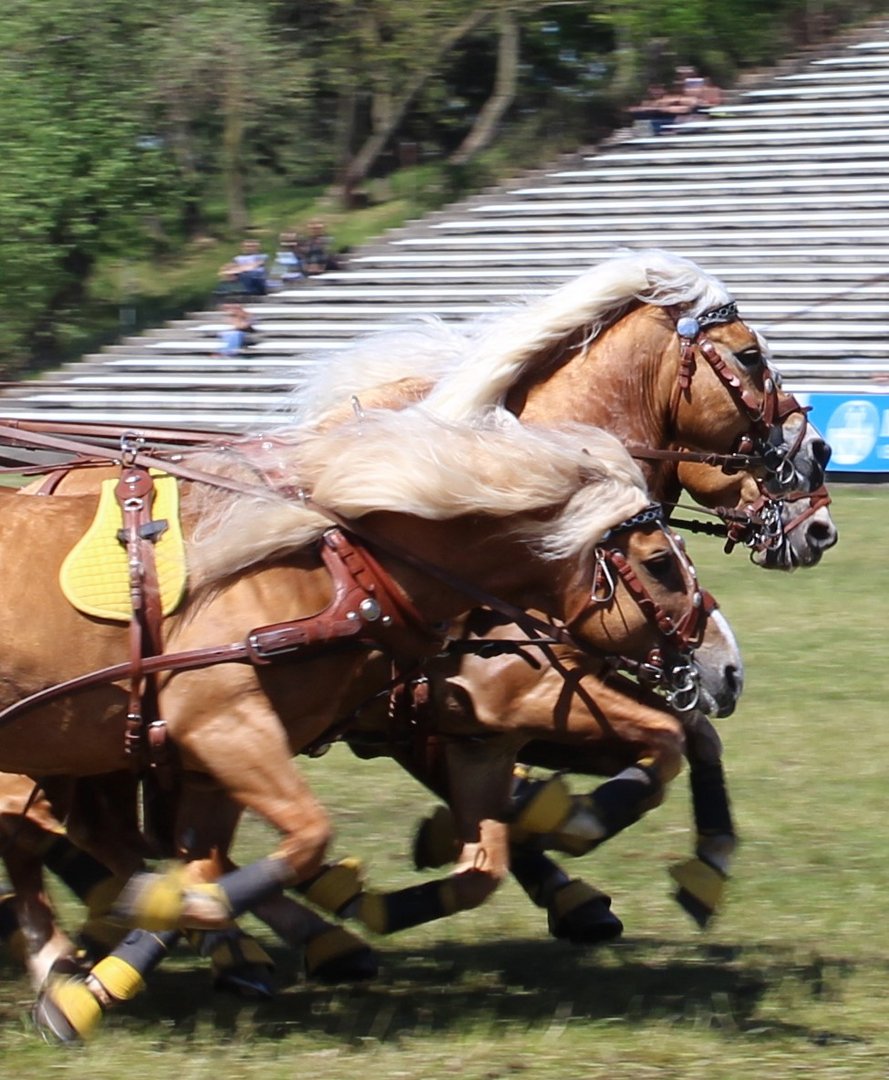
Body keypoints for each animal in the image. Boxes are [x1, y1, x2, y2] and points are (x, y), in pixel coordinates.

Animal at [0, 408, 738, 1032]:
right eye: (658, 563)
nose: (726, 669)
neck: (340, 571)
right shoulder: (225, 726)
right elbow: (291, 843)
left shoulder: (475, 733)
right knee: (41, 838)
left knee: (73, 837)